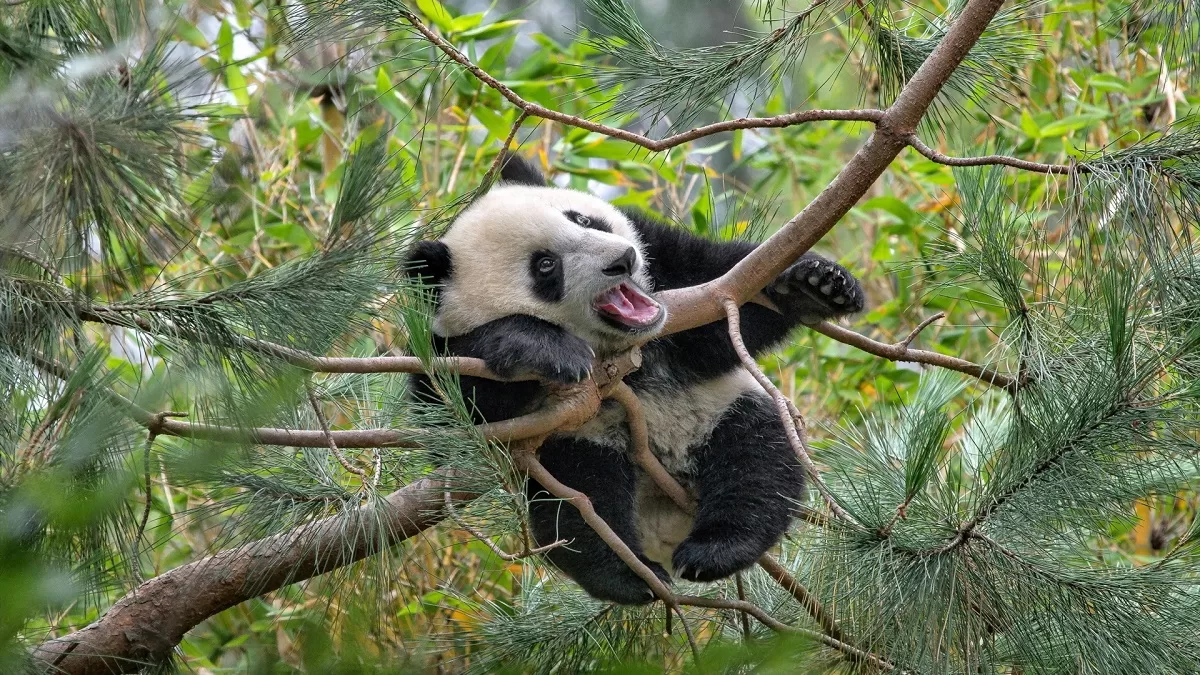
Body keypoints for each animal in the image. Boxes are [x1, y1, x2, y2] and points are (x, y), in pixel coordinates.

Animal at [406, 154, 864, 605]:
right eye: (545, 266)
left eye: (583, 219)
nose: (622, 260)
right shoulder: (436, 343)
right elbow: (448, 421)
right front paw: (541, 346)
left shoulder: (668, 265)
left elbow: (722, 293)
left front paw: (815, 285)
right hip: (576, 447)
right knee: (579, 506)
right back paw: (631, 575)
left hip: (726, 406)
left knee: (757, 461)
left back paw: (716, 548)